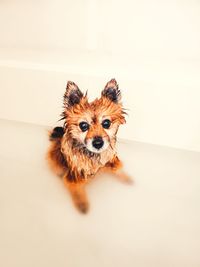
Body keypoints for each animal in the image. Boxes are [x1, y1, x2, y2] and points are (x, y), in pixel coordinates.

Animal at [46, 79, 131, 214]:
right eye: (83, 125)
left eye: (106, 123)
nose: (98, 143)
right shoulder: (74, 178)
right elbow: (77, 191)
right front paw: (82, 204)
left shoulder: (110, 161)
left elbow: (118, 168)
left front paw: (126, 177)